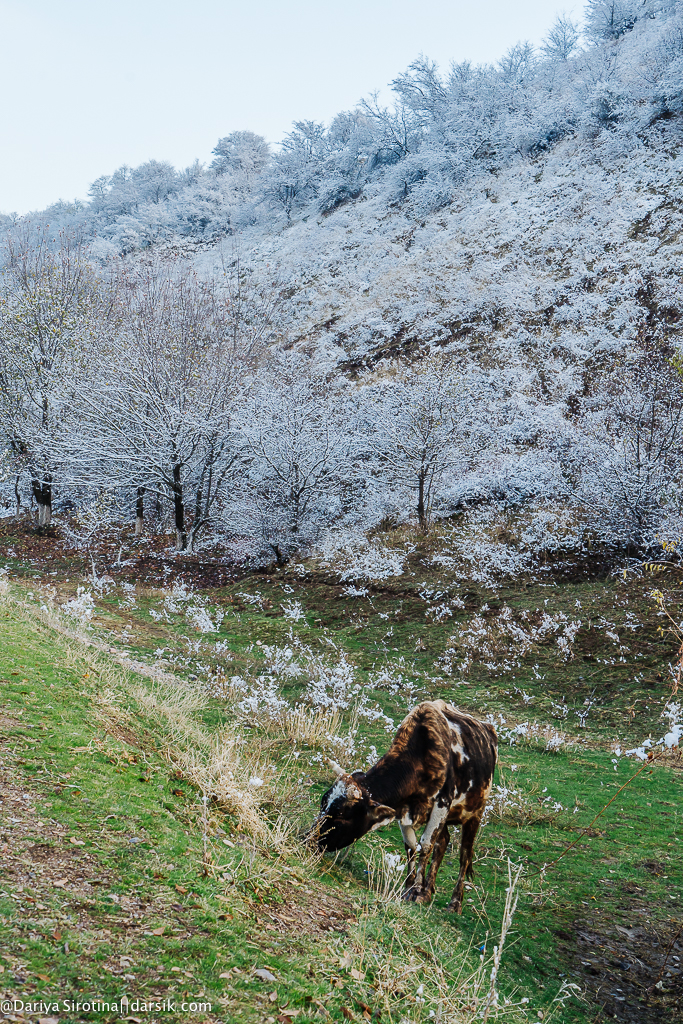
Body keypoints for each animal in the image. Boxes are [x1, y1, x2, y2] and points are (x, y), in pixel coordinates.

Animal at [308, 700, 497, 912]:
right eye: (323, 803)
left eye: (341, 815)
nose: (308, 839)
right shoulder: (403, 809)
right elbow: (411, 846)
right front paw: (410, 887)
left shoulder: (442, 804)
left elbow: (425, 845)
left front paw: (417, 892)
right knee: (442, 843)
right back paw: (429, 889)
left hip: (475, 814)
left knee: (465, 855)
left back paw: (455, 903)